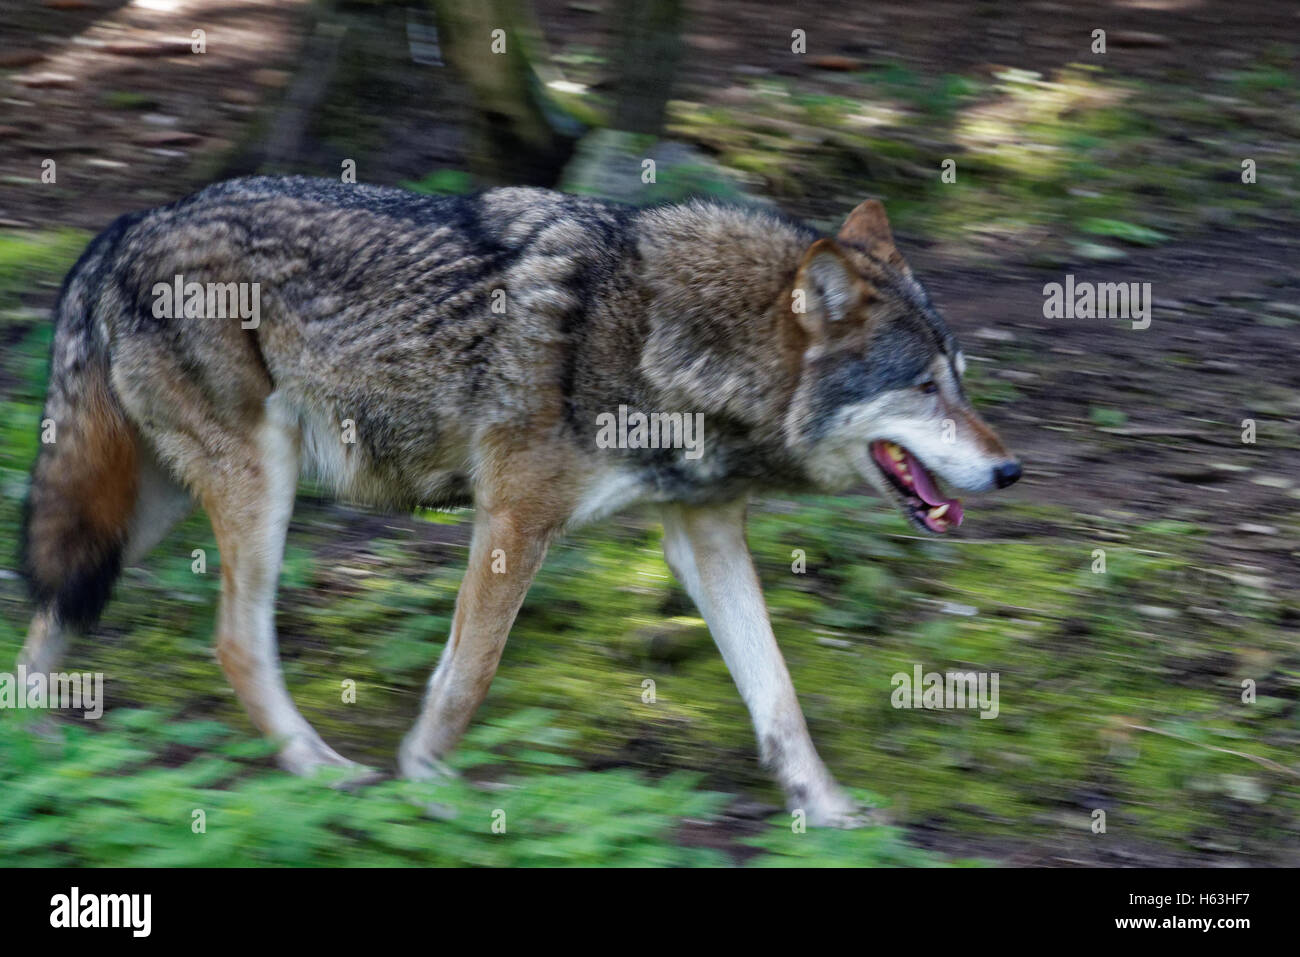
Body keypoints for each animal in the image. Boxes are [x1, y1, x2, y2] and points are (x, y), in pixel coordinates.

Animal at [15, 178, 1019, 821]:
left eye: (961, 381)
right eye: (924, 387)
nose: (1010, 472)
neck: (673, 338)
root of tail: (128, 222)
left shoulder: (703, 535)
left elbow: (778, 696)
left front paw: (830, 809)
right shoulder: (514, 515)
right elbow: (469, 674)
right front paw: (427, 780)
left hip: (152, 509)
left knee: (55, 612)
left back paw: (40, 754)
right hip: (258, 491)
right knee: (231, 639)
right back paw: (318, 767)